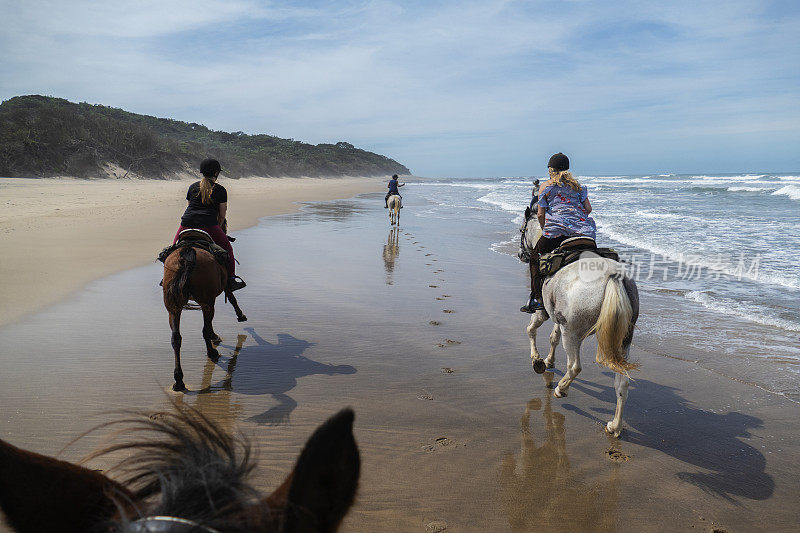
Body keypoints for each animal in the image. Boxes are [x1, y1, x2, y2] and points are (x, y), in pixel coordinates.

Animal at [520, 220, 640, 436]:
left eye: (522, 230)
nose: (520, 253)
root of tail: (613, 276)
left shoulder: (543, 311)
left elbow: (531, 330)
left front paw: (538, 361)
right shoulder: (559, 317)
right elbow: (553, 337)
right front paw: (549, 360)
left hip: (573, 333)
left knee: (575, 366)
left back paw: (561, 389)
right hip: (624, 339)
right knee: (622, 383)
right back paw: (614, 426)